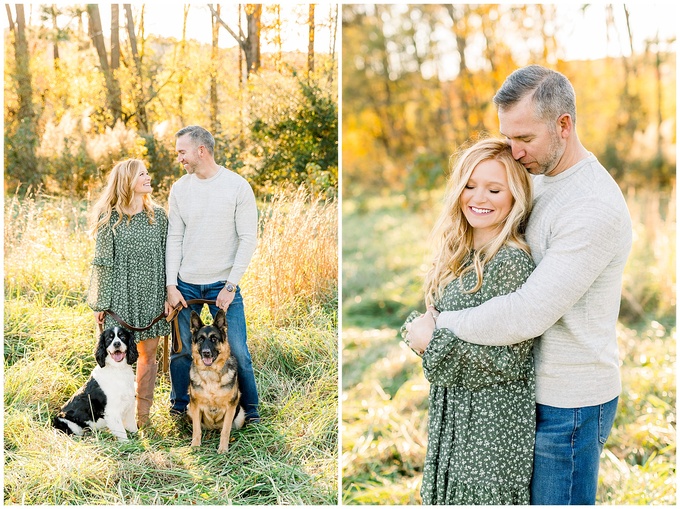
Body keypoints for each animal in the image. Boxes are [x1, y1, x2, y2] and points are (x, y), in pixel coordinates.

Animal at [187, 308, 246, 454]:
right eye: (201, 339)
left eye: (214, 339)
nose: (206, 353)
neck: (210, 374)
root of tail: (213, 428)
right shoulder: (195, 406)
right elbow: (197, 429)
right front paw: (195, 445)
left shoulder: (231, 407)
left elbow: (225, 431)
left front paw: (223, 448)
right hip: (188, 408)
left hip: (240, 415)